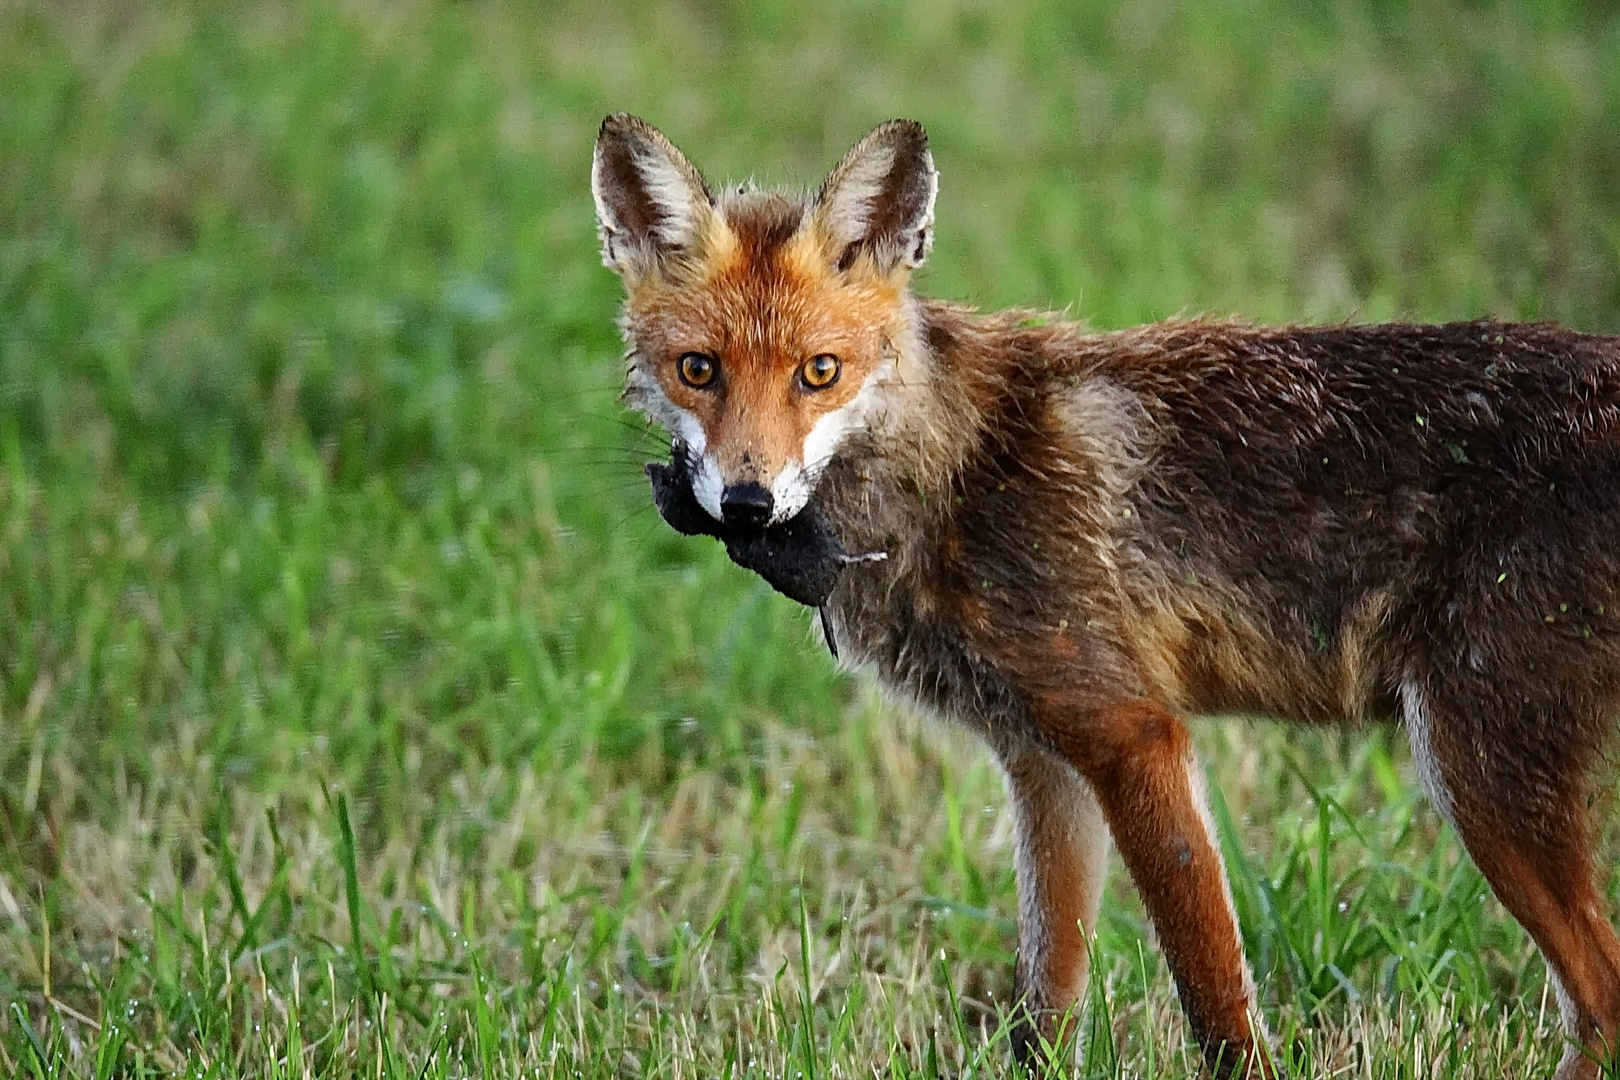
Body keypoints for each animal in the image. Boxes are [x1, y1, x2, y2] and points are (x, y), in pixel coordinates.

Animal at [589, 114, 1620, 1075]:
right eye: (698, 369)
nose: (748, 504)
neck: (952, 473)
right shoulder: (1042, 765)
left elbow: (1213, 996)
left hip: (1476, 771)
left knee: (1602, 1000)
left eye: (819, 373)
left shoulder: (1132, 734)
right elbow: (1045, 1006)